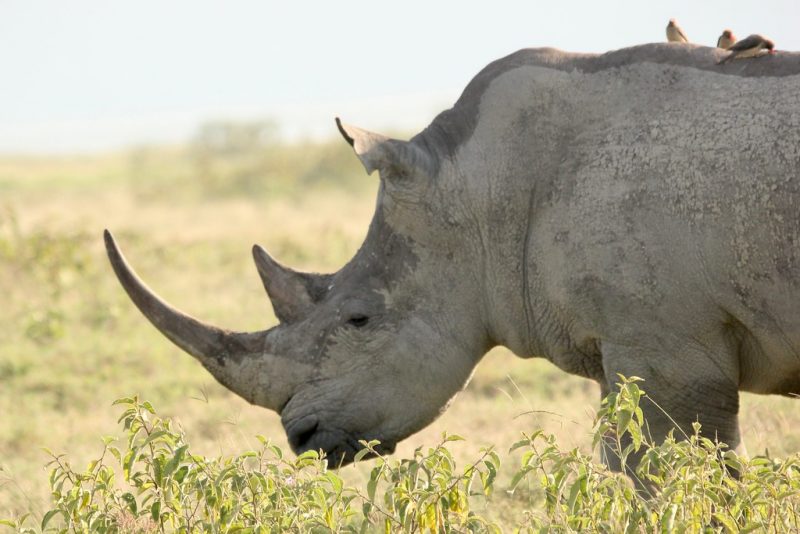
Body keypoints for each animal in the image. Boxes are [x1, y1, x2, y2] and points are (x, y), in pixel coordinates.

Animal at [105, 43, 800, 468]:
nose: (300, 438)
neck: (478, 190)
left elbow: (673, 474)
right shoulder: (636, 348)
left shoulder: (667, 349)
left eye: (359, 320)